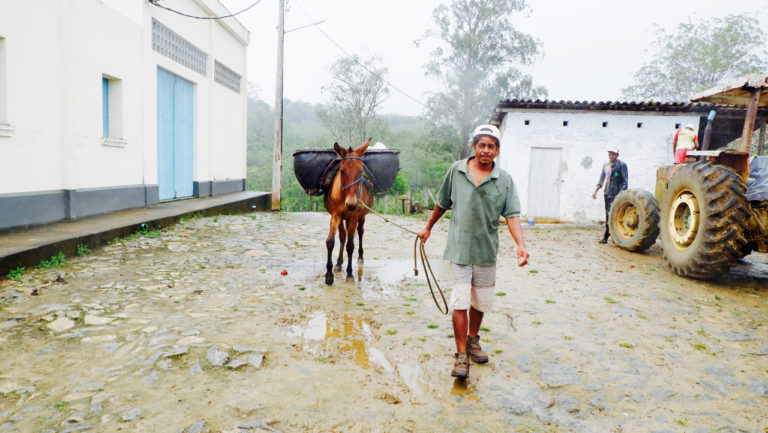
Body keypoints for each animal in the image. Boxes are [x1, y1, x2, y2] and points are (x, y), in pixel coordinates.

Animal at [322, 140, 374, 286]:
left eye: (361, 171)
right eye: (342, 170)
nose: (351, 204)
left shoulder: (354, 216)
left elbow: (350, 246)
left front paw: (350, 273)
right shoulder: (336, 215)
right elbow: (331, 241)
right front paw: (329, 274)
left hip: (361, 217)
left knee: (360, 232)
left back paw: (360, 256)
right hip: (343, 218)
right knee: (342, 236)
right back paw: (339, 263)